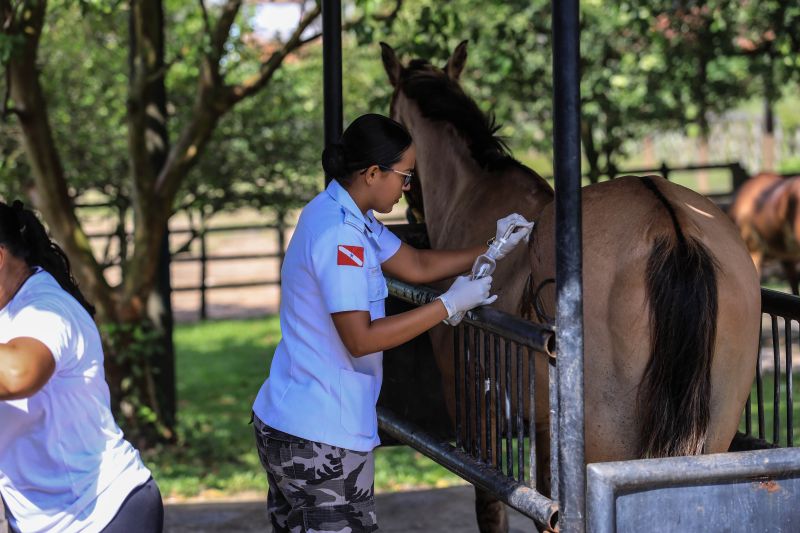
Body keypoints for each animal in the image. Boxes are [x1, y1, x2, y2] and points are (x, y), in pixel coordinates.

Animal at [382, 42, 764, 532]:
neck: (473, 194)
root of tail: (671, 226)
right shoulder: (546, 429)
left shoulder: (475, 416)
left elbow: (495, 506)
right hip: (709, 437)